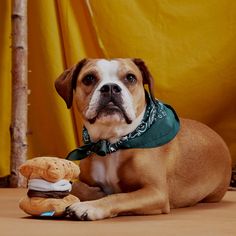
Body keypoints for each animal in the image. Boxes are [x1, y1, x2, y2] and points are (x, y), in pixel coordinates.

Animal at [54, 58, 231, 220]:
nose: (110, 87)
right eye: (89, 78)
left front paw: (90, 206)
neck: (112, 142)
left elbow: (119, 196)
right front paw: (92, 193)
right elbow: (74, 185)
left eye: (130, 78)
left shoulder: (156, 192)